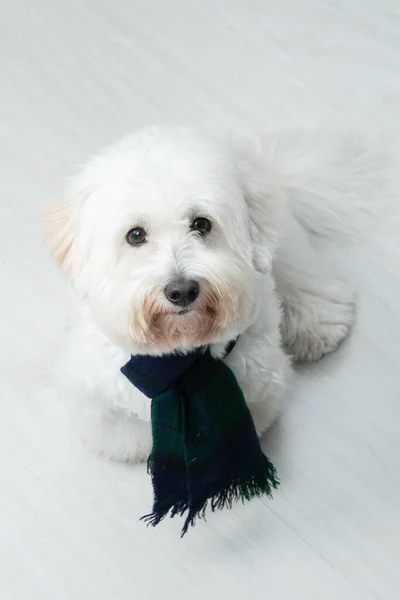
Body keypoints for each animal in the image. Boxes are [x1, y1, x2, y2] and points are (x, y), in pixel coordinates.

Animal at [43, 126, 376, 462]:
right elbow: (128, 433)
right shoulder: (95, 398)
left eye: (201, 223)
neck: (182, 361)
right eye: (135, 235)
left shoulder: (262, 385)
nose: (182, 291)